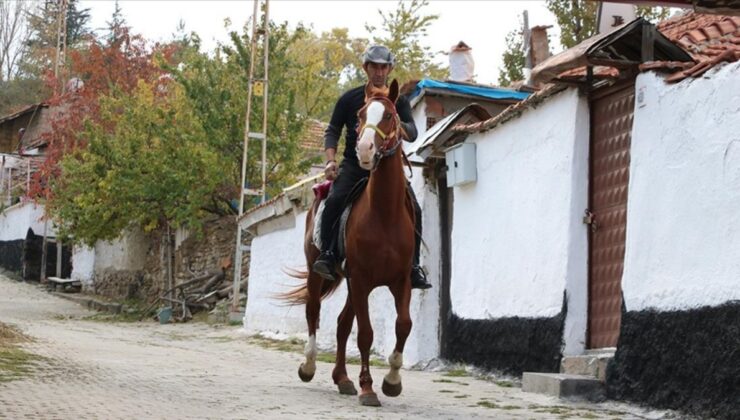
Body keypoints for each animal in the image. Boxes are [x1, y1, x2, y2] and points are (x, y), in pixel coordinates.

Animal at [282, 79, 414, 406]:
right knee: (313, 311)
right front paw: (368, 388)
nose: (364, 149)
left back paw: (342, 378)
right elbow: (365, 333)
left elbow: (403, 325)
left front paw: (392, 381)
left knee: (342, 324)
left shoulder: (401, 280)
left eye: (390, 115)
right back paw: (309, 366)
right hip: (320, 272)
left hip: (353, 284)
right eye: (360, 116)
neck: (384, 213)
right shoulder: (362, 280)